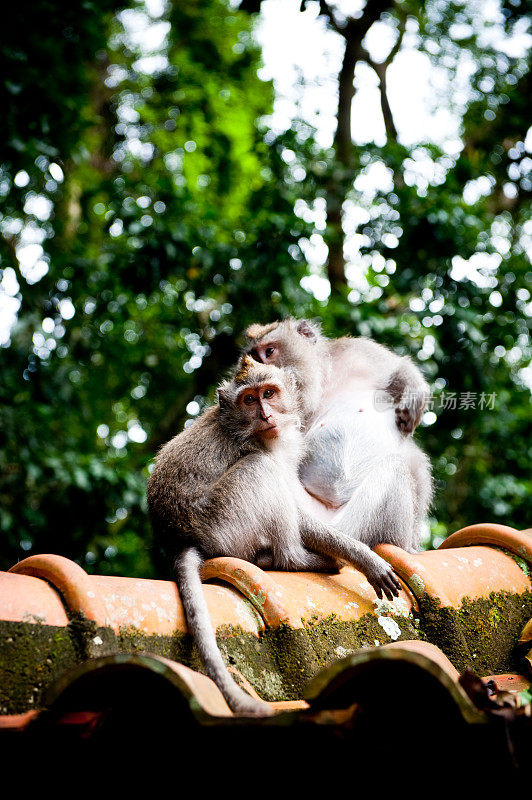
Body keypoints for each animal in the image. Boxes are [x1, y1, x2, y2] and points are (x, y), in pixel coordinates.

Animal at [148, 354, 402, 716]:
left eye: (269, 393)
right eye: (249, 399)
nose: (266, 415)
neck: (240, 427)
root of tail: (180, 539)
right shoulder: (256, 449)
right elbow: (289, 501)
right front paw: (365, 558)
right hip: (223, 520)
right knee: (261, 469)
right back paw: (295, 560)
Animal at [244, 316, 432, 552]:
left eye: (269, 352)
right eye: (254, 358)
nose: (264, 374)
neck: (322, 382)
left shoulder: (356, 351)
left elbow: (399, 368)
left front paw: (414, 400)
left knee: (409, 462)